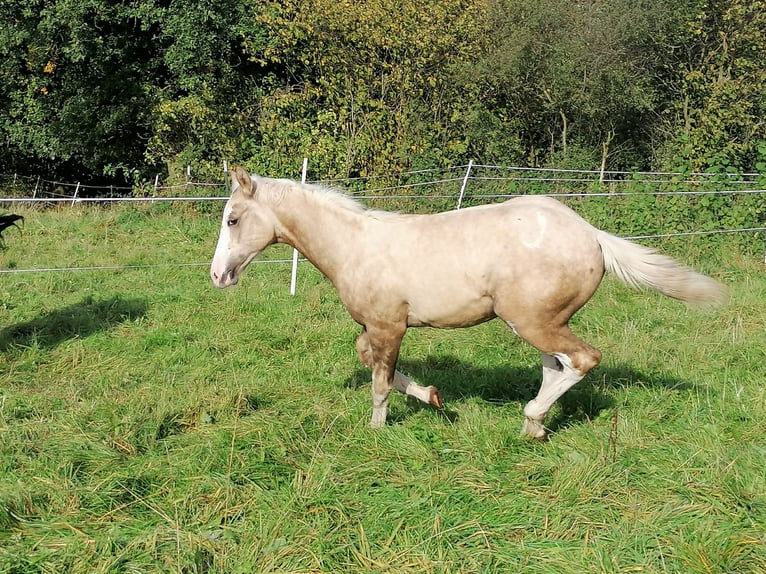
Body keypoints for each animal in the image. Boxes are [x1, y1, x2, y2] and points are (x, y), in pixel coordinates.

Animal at [208, 166, 728, 440]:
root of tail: (592, 234)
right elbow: (371, 361)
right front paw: (433, 398)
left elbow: (379, 383)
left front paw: (376, 430)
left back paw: (532, 417)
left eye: (233, 219)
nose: (217, 276)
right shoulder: (375, 327)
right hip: (540, 322)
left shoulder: (389, 325)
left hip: (531, 320)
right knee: (556, 365)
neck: (354, 246)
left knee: (582, 359)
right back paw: (535, 429)